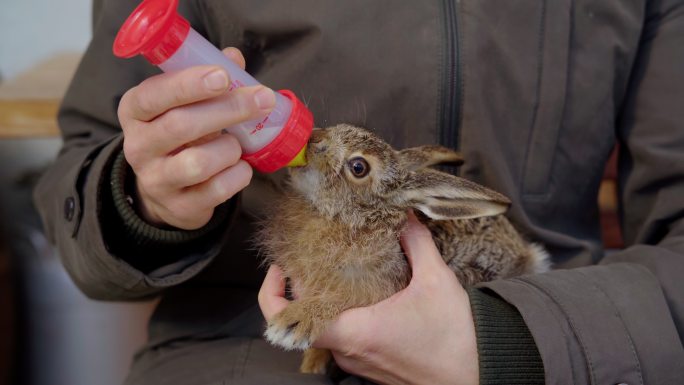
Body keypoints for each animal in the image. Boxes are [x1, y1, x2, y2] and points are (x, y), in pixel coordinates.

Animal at [258, 123, 552, 372]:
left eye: (358, 167)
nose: (313, 139)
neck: (355, 217)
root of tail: (527, 255)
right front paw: (312, 362)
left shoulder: (385, 284)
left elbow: (346, 296)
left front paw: (294, 322)